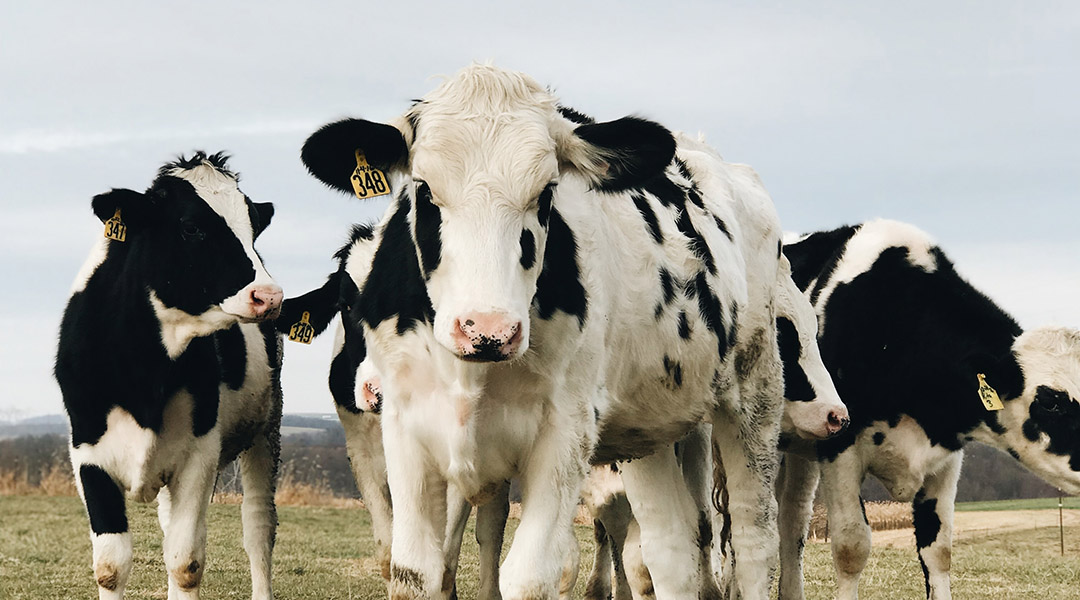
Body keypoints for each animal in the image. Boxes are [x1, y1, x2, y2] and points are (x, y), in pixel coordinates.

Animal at [55, 153, 285, 600]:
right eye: (191, 226)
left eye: (252, 226)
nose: (269, 296)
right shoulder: (88, 453)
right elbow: (110, 565)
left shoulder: (199, 454)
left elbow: (185, 563)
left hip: (267, 428)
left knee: (258, 528)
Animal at [298, 63, 842, 595]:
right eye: (424, 189)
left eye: (546, 193)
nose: (487, 330)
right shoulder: (406, 430)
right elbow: (416, 571)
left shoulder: (565, 432)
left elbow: (532, 575)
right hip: (650, 425)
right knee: (671, 550)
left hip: (754, 395)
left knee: (753, 541)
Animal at [773, 219, 1080, 600]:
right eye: (1051, 401)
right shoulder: (839, 448)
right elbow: (851, 546)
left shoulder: (946, 459)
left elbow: (939, 549)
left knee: (792, 519)